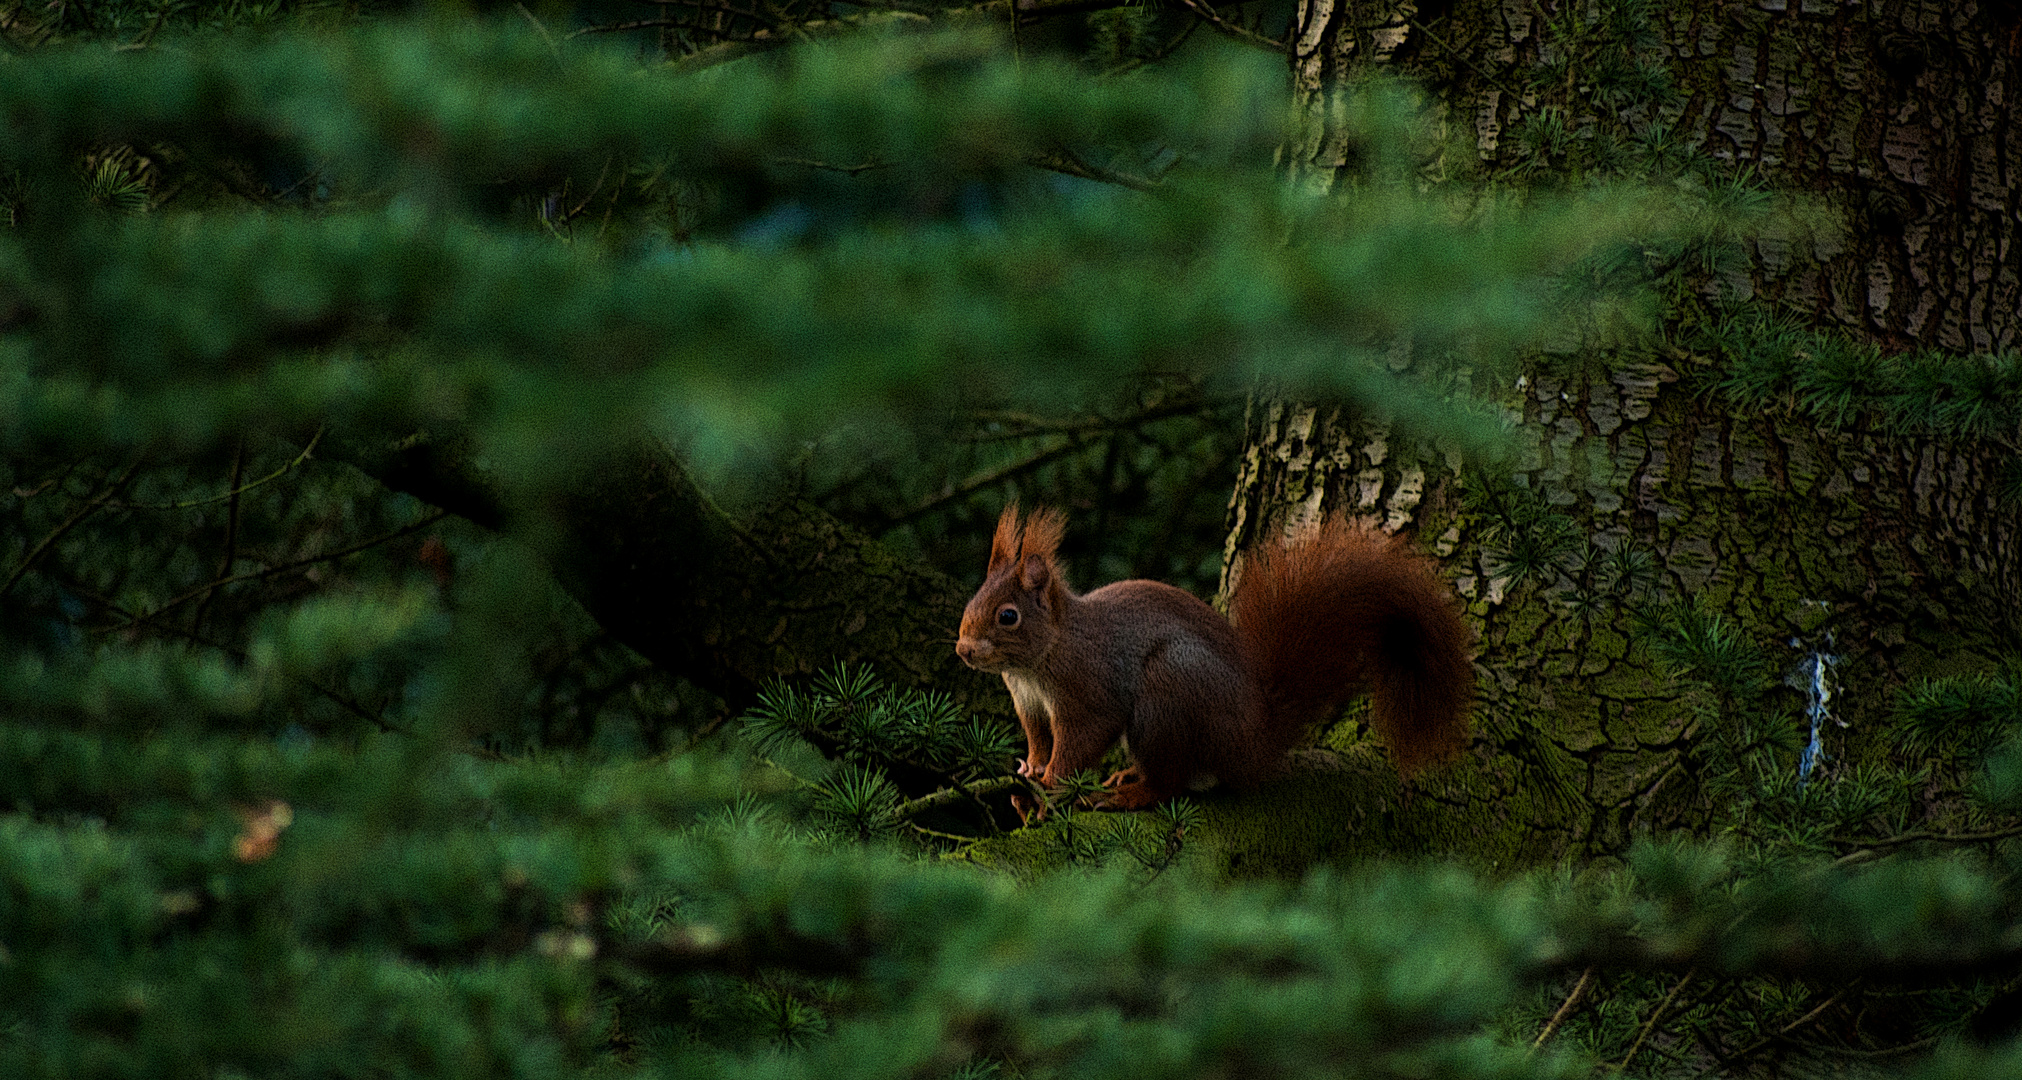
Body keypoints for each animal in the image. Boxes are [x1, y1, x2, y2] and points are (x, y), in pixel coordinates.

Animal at [954, 507, 1480, 813]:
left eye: (1007, 616)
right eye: (973, 598)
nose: (963, 648)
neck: (1042, 658)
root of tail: (1255, 741)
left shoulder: (1090, 690)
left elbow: (1081, 738)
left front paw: (1055, 783)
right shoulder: (1029, 704)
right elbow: (1040, 739)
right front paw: (1030, 772)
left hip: (1170, 692)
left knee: (1171, 782)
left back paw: (1127, 794)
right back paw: (1128, 775)